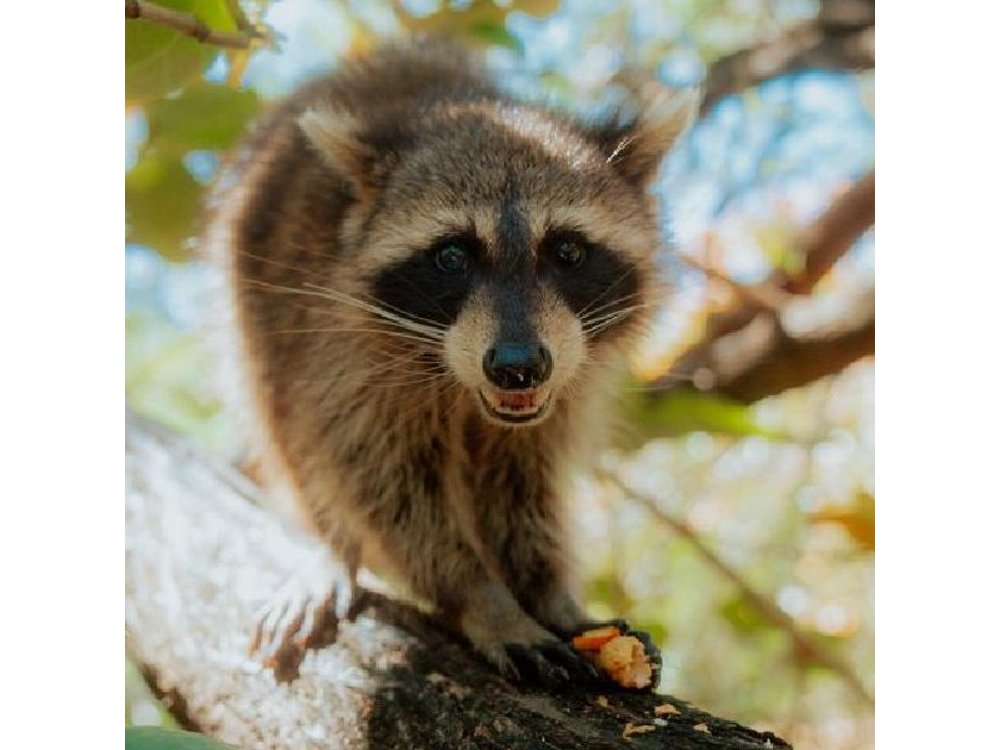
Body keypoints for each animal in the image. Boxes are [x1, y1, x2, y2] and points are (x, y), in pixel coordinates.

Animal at [205, 41, 695, 686]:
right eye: (452, 256)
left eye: (567, 250)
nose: (517, 367)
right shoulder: (342, 349)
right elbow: (380, 481)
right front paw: (481, 596)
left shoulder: (568, 382)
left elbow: (524, 484)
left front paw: (546, 590)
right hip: (249, 308)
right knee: (286, 428)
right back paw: (332, 547)